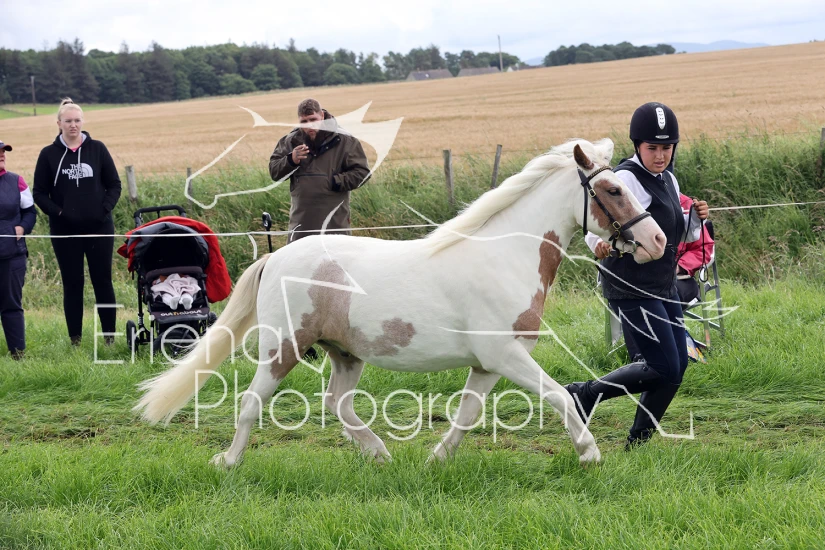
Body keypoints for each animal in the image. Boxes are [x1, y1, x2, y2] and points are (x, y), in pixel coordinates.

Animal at [134, 138, 666, 468]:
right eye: (613, 189)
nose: (657, 241)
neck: (505, 257)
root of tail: (274, 258)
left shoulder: (488, 364)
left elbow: (467, 414)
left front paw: (435, 460)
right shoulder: (506, 356)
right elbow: (558, 395)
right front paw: (590, 454)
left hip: (345, 353)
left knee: (337, 403)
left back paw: (380, 454)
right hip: (283, 347)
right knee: (250, 403)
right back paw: (228, 462)